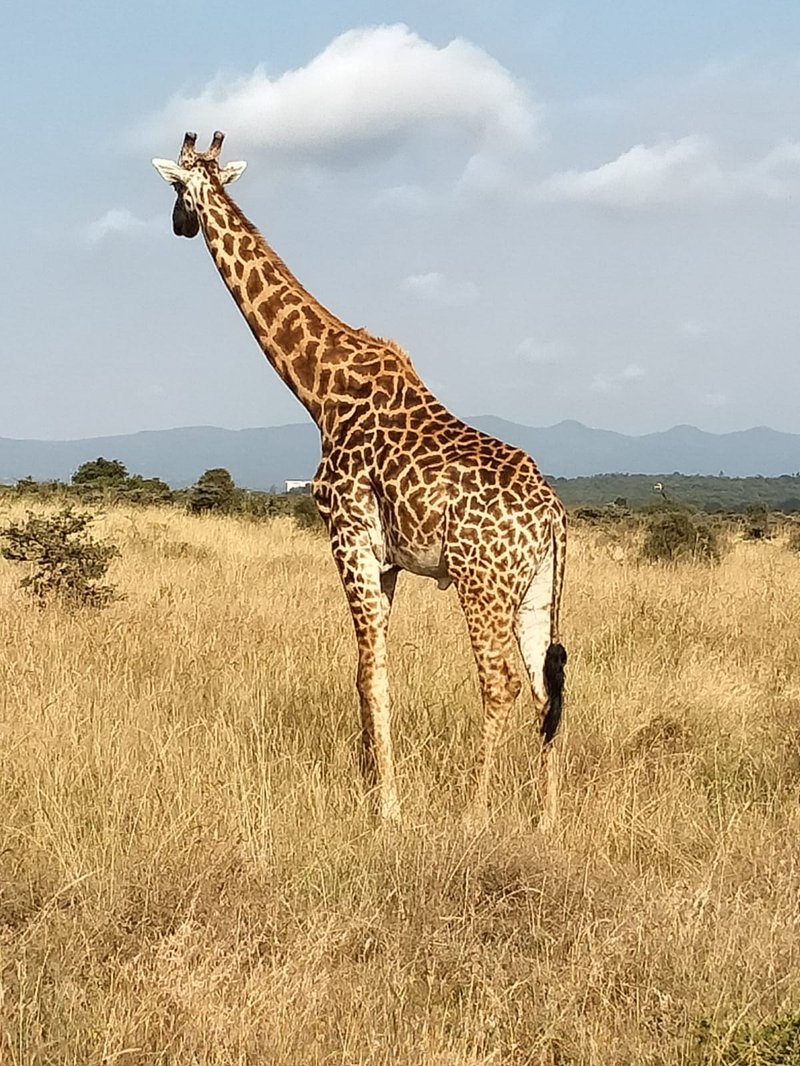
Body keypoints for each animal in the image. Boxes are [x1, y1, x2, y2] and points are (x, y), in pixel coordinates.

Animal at [152, 132, 568, 823]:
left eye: (175, 188)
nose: (180, 226)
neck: (320, 389)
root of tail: (555, 517)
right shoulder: (388, 557)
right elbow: (364, 669)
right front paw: (373, 785)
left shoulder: (346, 533)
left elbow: (371, 672)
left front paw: (388, 810)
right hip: (534, 590)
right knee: (545, 685)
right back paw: (546, 818)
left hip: (482, 583)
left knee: (501, 682)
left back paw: (476, 813)